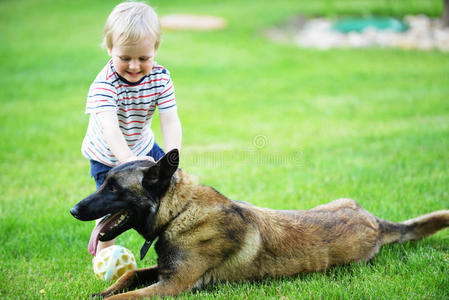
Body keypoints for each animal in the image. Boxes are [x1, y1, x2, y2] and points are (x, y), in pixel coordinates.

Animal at [70, 149, 448, 298]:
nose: (73, 210)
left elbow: (125, 297)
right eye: (103, 182)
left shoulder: (173, 285)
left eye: (113, 188)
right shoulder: (164, 274)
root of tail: (375, 222)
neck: (179, 212)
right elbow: (129, 276)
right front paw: (101, 290)